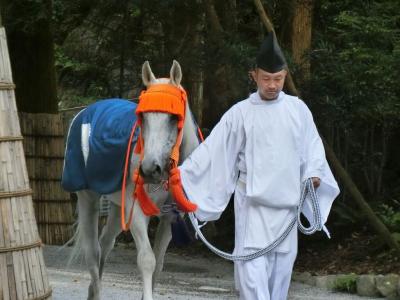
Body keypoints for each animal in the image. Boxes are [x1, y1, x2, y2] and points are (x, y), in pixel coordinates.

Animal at [67, 61, 202, 300]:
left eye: (173, 117)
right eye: (143, 117)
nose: (149, 169)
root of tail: (82, 112)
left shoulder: (169, 217)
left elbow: (159, 264)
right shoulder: (137, 210)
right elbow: (147, 260)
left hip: (116, 205)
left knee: (106, 243)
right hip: (87, 198)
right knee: (93, 253)